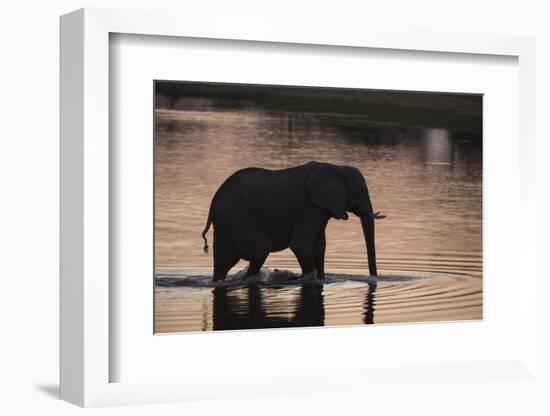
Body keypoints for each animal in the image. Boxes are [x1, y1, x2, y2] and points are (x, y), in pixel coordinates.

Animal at [201, 161, 386, 282]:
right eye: (359, 190)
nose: (374, 279)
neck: (335, 167)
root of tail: (214, 200)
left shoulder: (319, 210)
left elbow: (320, 248)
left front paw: (322, 279)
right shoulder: (307, 208)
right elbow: (301, 246)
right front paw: (308, 278)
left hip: (227, 221)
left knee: (223, 262)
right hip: (238, 216)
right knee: (261, 249)